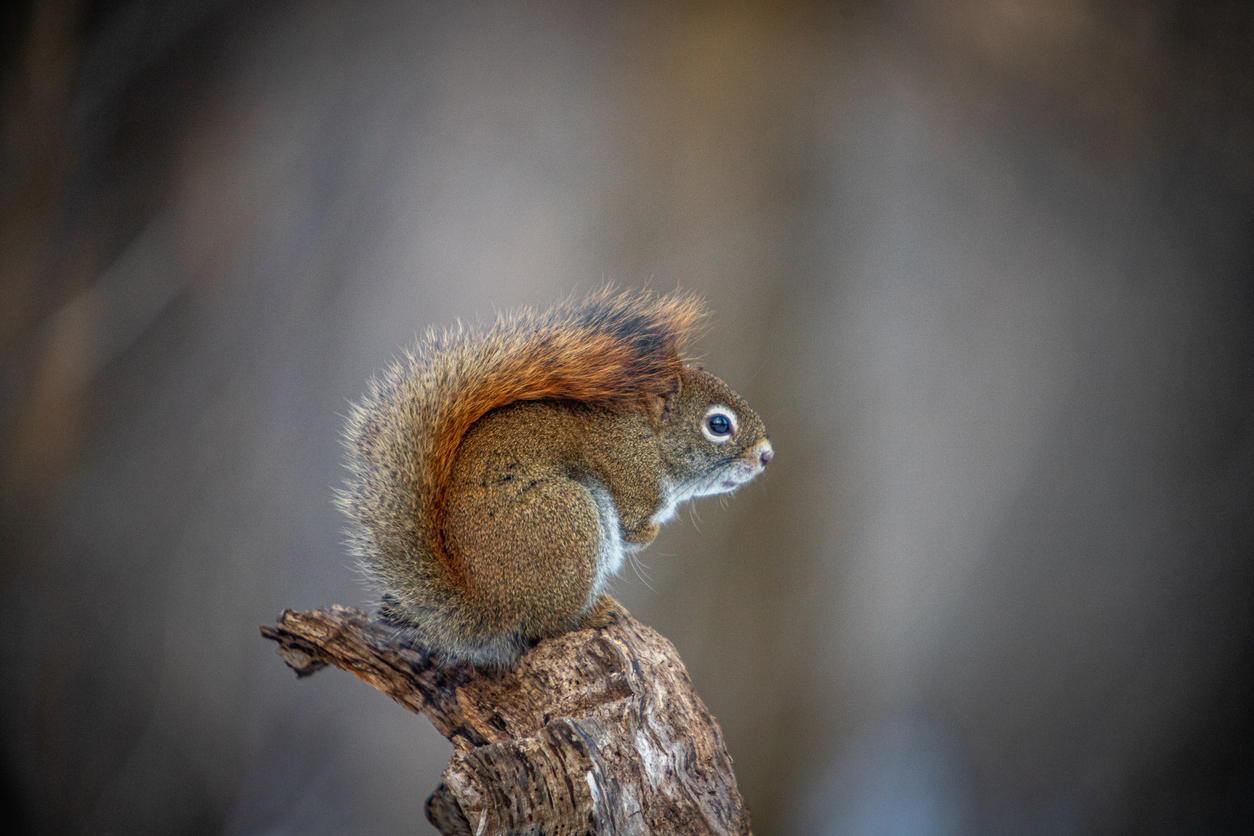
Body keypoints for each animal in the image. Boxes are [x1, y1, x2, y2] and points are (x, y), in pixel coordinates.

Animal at [341, 288, 772, 666]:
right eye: (718, 425)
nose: (767, 455)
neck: (649, 440)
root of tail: (486, 609)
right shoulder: (631, 481)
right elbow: (634, 528)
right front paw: (650, 535)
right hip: (569, 516)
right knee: (546, 626)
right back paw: (594, 614)